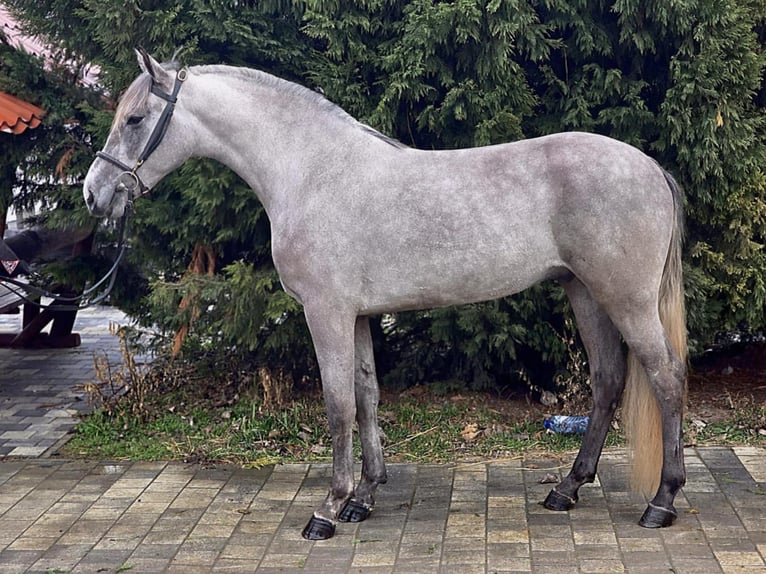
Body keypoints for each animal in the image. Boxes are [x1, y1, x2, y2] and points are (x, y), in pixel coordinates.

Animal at [84, 50, 688, 544]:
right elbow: (368, 396)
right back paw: (567, 489)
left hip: (626, 301)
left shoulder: (325, 313)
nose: (95, 194)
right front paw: (364, 497)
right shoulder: (355, 316)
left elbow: (337, 406)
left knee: (666, 377)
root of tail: (650, 166)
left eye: (135, 119)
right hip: (585, 293)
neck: (312, 172)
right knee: (608, 380)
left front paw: (328, 509)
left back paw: (661, 502)